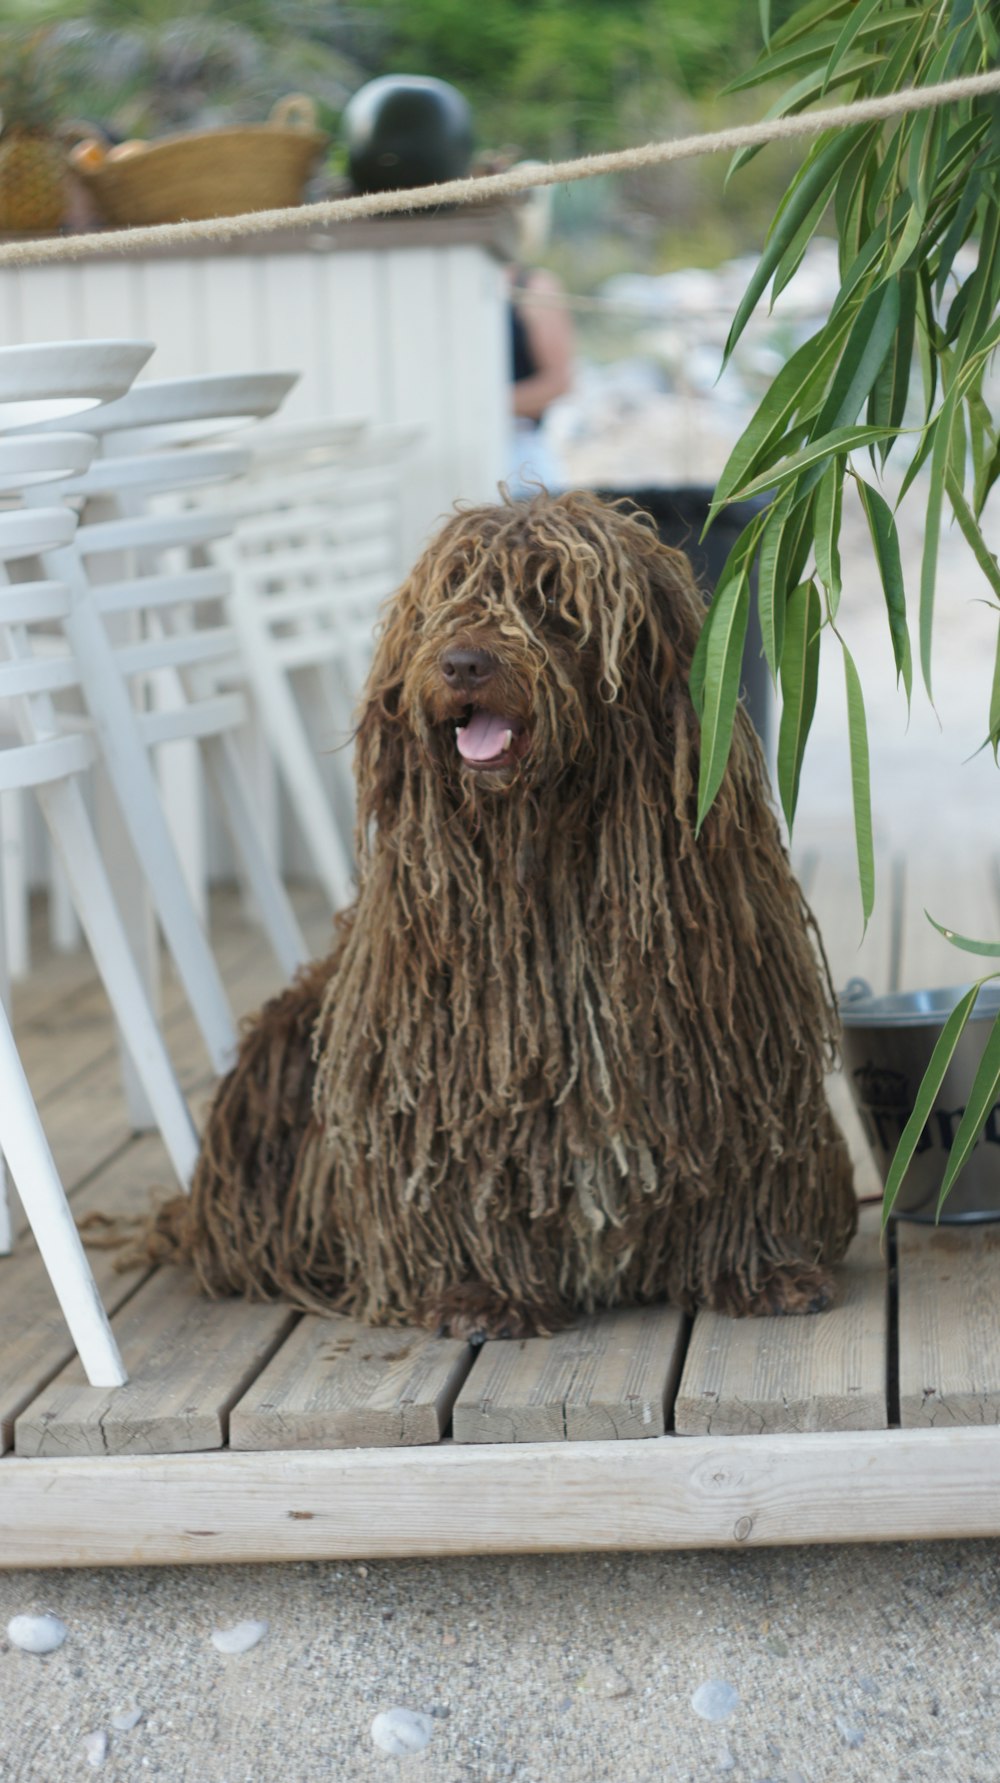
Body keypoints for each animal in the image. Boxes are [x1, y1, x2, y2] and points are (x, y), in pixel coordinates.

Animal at [144, 488, 855, 1340]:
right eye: (449, 596)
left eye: (553, 600)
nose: (463, 663)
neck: (549, 862)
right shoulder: (448, 1080)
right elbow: (461, 1177)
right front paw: (482, 1290)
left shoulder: (731, 1049)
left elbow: (745, 1154)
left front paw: (761, 1267)